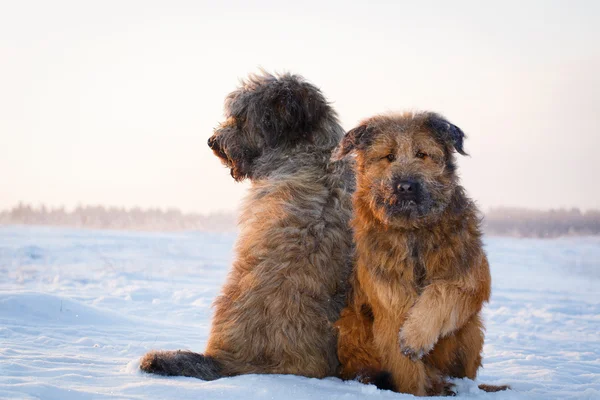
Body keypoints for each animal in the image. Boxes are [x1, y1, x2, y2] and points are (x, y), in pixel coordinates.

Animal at [332, 111, 506, 396]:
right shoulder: (389, 301)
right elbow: (405, 365)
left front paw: (415, 336)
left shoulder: (469, 275)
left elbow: (443, 290)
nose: (405, 186)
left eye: (422, 154)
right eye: (389, 156)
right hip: (350, 325)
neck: (412, 230)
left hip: (471, 329)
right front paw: (414, 391)